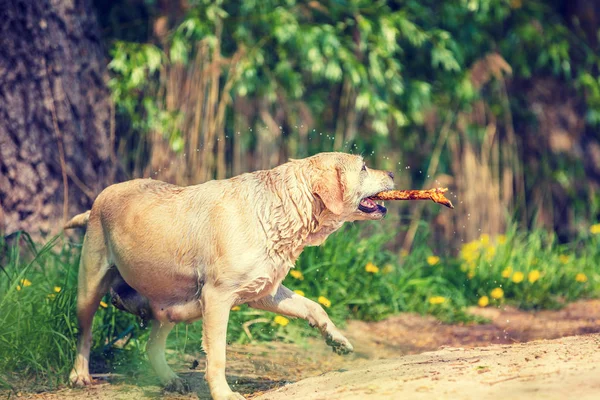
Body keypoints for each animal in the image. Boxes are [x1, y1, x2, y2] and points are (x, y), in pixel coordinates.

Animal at [67, 152, 394, 398]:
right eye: (363, 167)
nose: (392, 171)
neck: (281, 210)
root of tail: (98, 199)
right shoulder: (217, 297)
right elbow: (218, 355)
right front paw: (224, 393)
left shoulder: (266, 292)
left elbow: (314, 306)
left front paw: (337, 340)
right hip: (90, 287)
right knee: (84, 333)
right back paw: (80, 375)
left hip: (170, 306)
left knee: (152, 346)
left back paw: (171, 380)